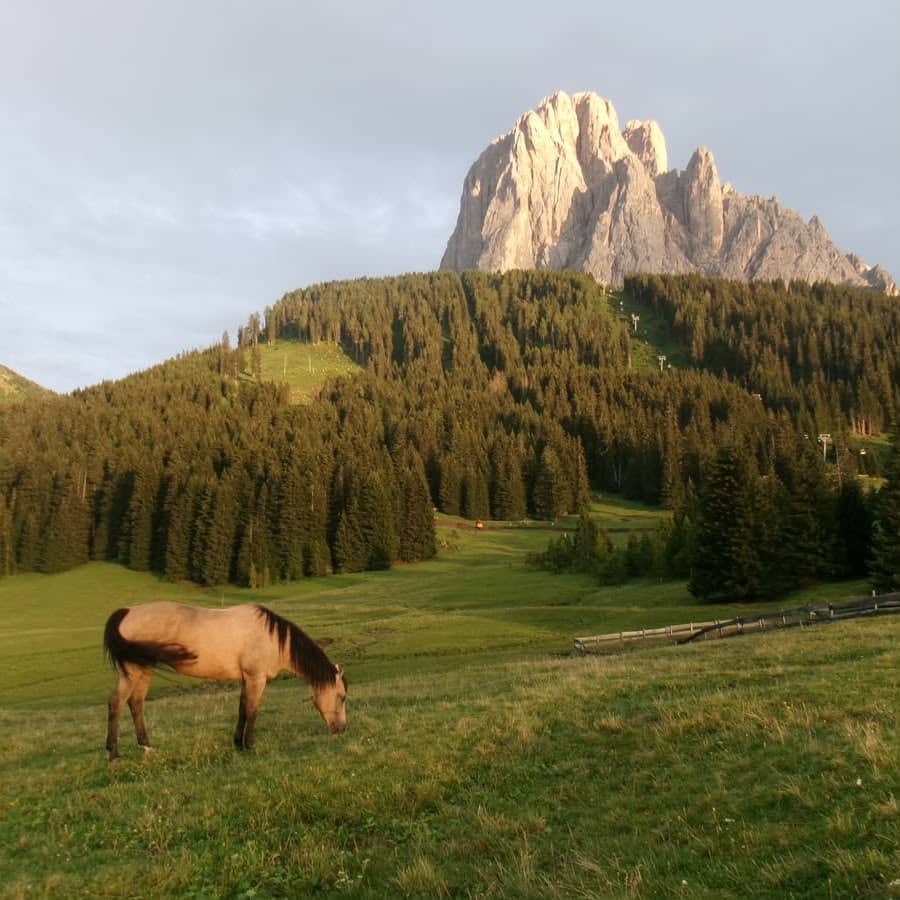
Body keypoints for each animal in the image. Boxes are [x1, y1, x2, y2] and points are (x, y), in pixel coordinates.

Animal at [103, 602, 347, 760]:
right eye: (342, 697)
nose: (342, 730)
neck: (272, 639)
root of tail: (127, 612)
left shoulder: (246, 679)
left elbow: (242, 709)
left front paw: (238, 743)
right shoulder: (256, 678)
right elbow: (253, 710)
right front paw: (250, 744)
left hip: (144, 669)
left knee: (135, 703)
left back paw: (146, 747)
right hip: (134, 671)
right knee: (116, 703)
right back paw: (113, 753)